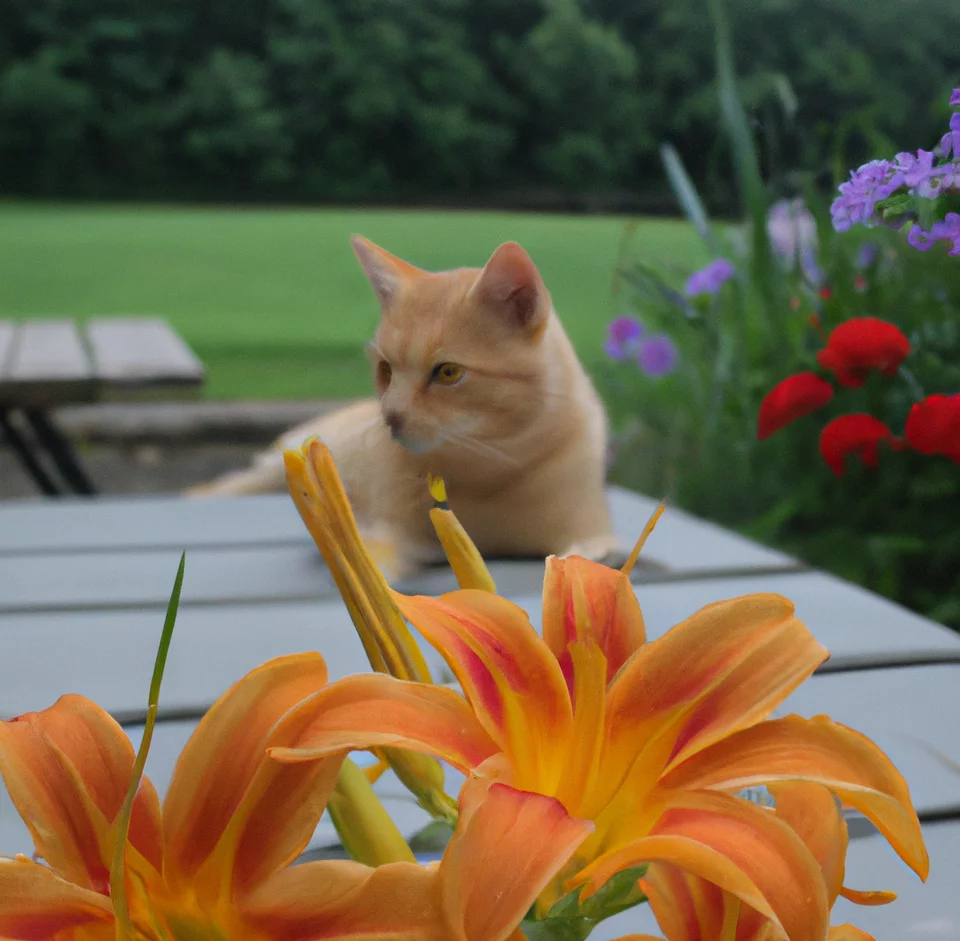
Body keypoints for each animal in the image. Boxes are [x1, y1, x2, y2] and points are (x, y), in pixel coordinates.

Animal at [191, 235, 620, 572]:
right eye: (386, 369)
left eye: (448, 373)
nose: (389, 415)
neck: (491, 472)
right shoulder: (388, 530)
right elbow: (375, 561)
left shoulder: (592, 530)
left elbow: (586, 558)